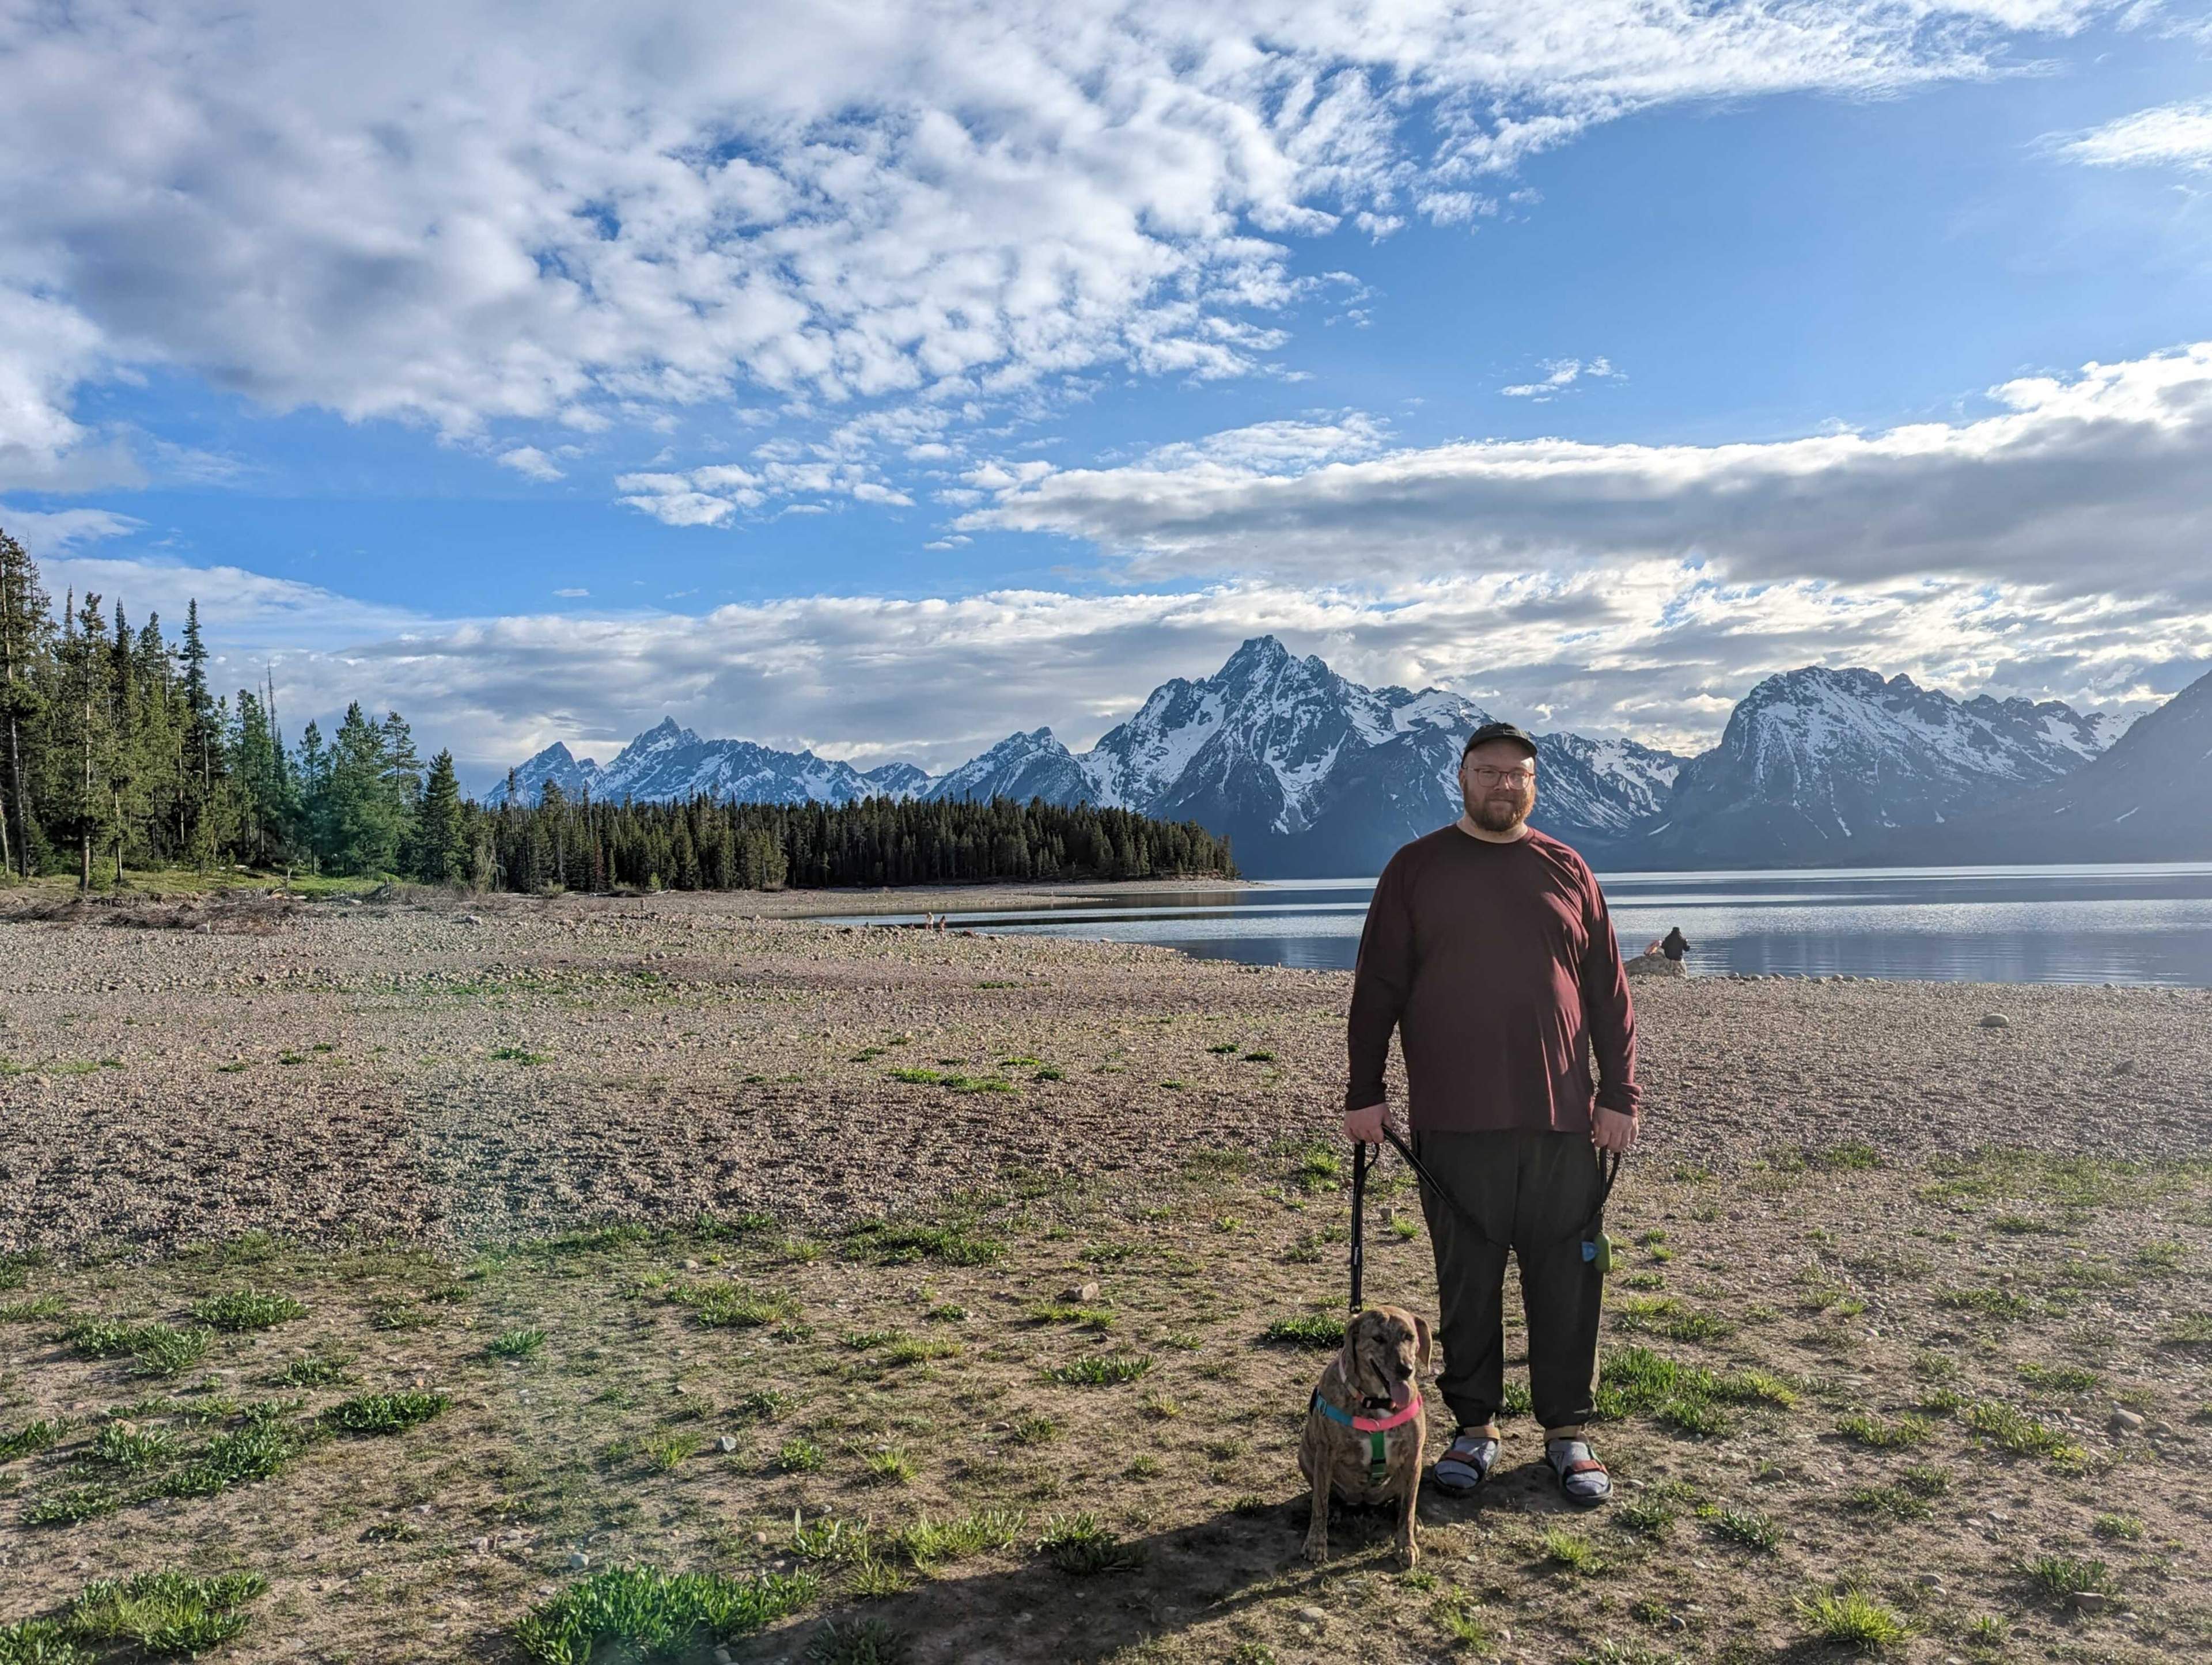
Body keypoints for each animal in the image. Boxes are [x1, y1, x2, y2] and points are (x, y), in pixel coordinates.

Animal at [1291, 1309, 1433, 1565]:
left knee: (1402, 1500)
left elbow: (1408, 1507)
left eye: (1409, 1336)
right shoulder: (1325, 1454)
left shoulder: (1413, 1456)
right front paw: (1316, 1543)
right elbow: (1319, 1504)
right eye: (1378, 1338)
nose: (1406, 1370)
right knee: (1327, 1496)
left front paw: (1406, 1544)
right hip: (1306, 1455)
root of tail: (1365, 1501)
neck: (1378, 1402)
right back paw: (1335, 1510)